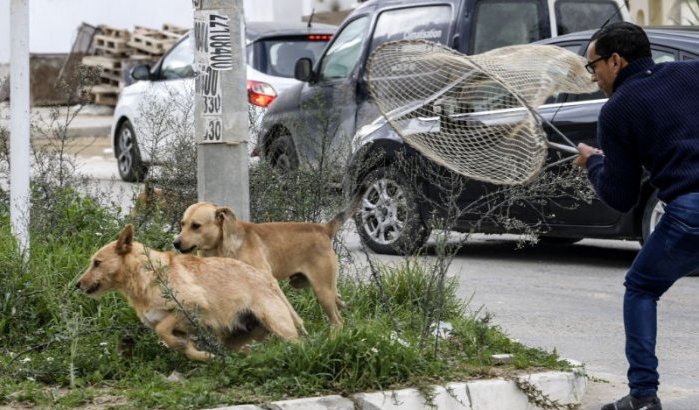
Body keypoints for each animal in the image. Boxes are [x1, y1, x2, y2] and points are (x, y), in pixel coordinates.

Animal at [77, 224, 306, 362]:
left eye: (97, 263)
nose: (77, 285)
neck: (146, 274)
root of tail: (266, 279)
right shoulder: (181, 328)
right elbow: (182, 345)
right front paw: (204, 355)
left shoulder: (192, 305)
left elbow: (163, 328)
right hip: (237, 338)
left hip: (278, 325)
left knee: (297, 343)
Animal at [174, 199, 360, 326]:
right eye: (182, 224)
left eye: (196, 226)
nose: (175, 243)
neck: (223, 247)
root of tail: (324, 229)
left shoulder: (269, 282)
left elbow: (287, 312)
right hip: (314, 286)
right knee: (340, 304)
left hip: (322, 291)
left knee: (337, 321)